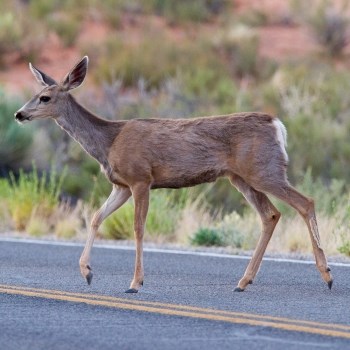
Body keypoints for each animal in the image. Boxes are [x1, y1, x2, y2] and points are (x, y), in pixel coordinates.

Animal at [14, 56, 334, 292]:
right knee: (271, 215)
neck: (108, 141)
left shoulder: (141, 178)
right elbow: (95, 217)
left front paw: (135, 283)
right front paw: (87, 272)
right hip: (241, 177)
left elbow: (138, 228)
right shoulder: (121, 185)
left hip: (264, 170)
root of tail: (277, 125)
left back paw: (327, 275)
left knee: (305, 202)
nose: (19, 114)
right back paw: (243, 281)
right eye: (33, 94)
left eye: (44, 97)